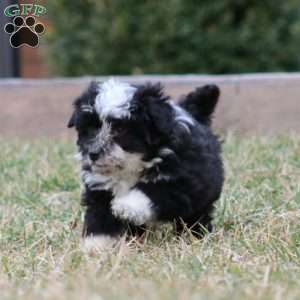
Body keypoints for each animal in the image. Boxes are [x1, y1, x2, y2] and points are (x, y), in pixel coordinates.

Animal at [67, 78, 223, 250]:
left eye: (120, 129)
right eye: (90, 128)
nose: (93, 154)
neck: (131, 166)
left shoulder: (182, 182)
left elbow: (152, 192)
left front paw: (126, 205)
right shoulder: (100, 188)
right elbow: (100, 216)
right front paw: (96, 245)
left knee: (196, 216)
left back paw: (195, 236)